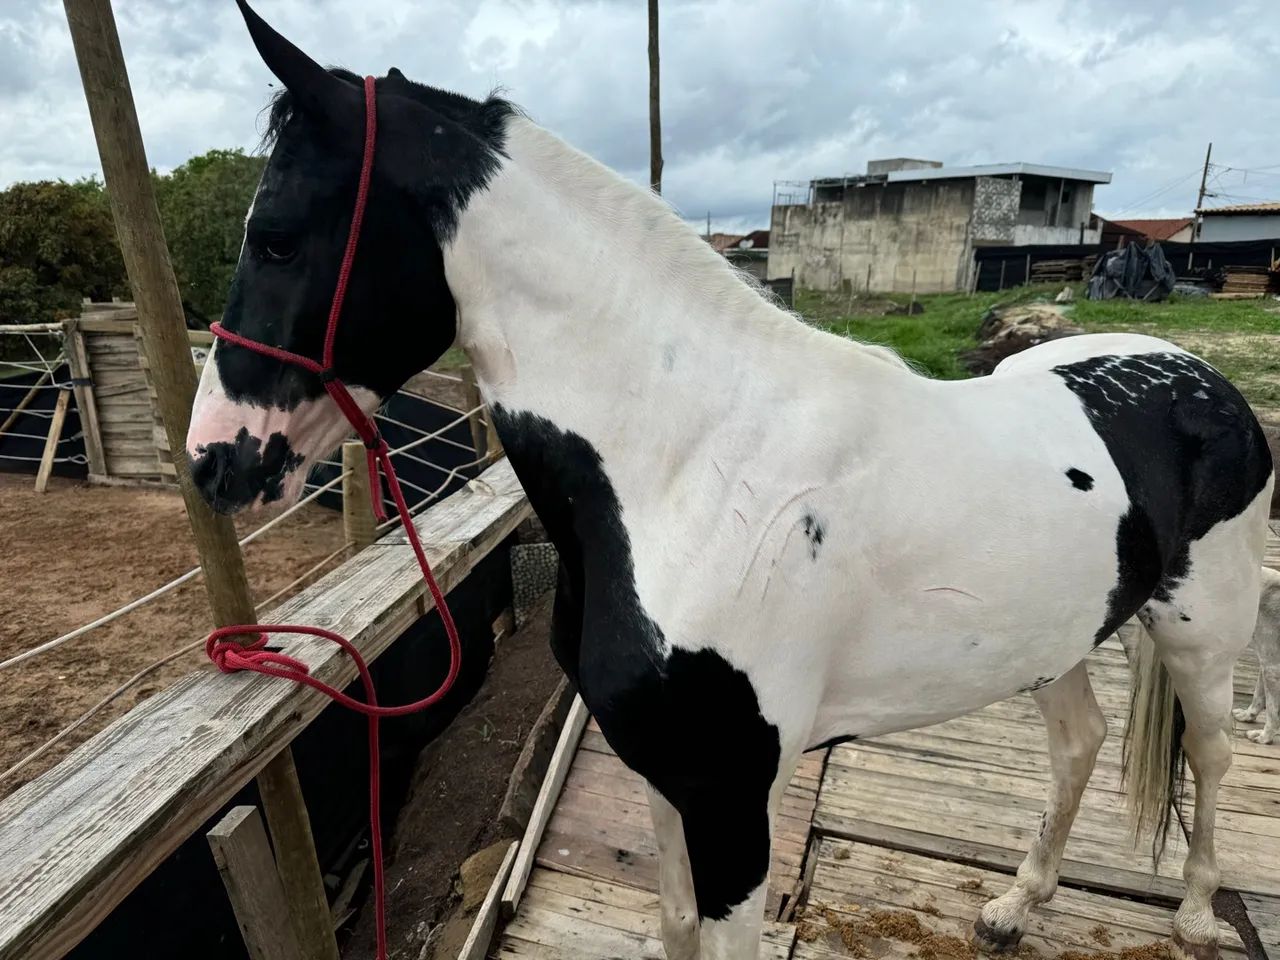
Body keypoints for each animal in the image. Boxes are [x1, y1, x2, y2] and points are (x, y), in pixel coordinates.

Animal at [187, 4, 1275, 958]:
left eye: (276, 233)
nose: (215, 459)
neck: (691, 466)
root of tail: (1199, 379)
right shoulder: (665, 779)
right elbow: (672, 927)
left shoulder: (734, 803)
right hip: (1056, 639)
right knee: (1079, 743)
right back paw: (1016, 904)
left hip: (1199, 635)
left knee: (1213, 755)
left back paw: (1192, 917)